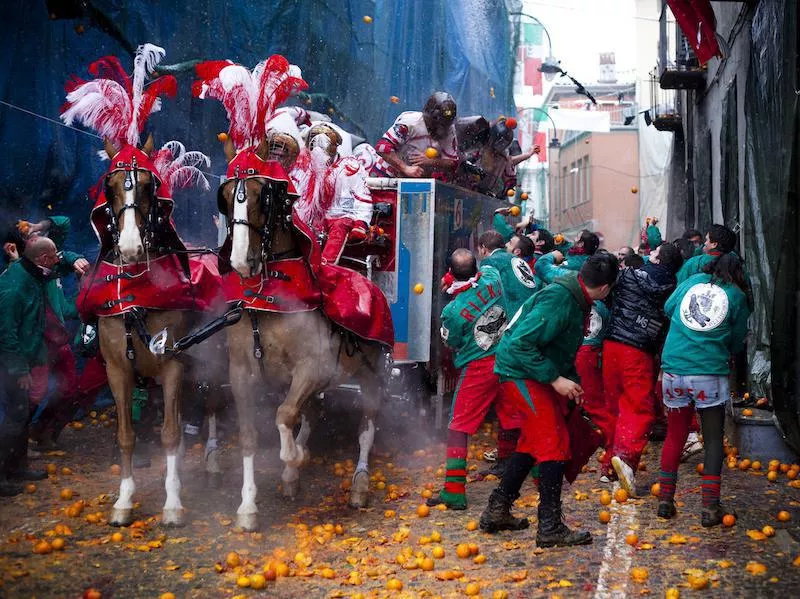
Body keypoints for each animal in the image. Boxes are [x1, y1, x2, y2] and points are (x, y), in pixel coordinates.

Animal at [219, 139, 388, 528]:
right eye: (226, 196)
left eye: (263, 196)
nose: (240, 261)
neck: (269, 301)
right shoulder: (241, 372)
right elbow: (251, 434)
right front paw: (248, 506)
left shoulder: (311, 368)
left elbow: (284, 415)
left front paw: (294, 457)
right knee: (311, 412)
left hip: (369, 374)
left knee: (367, 427)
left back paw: (359, 483)